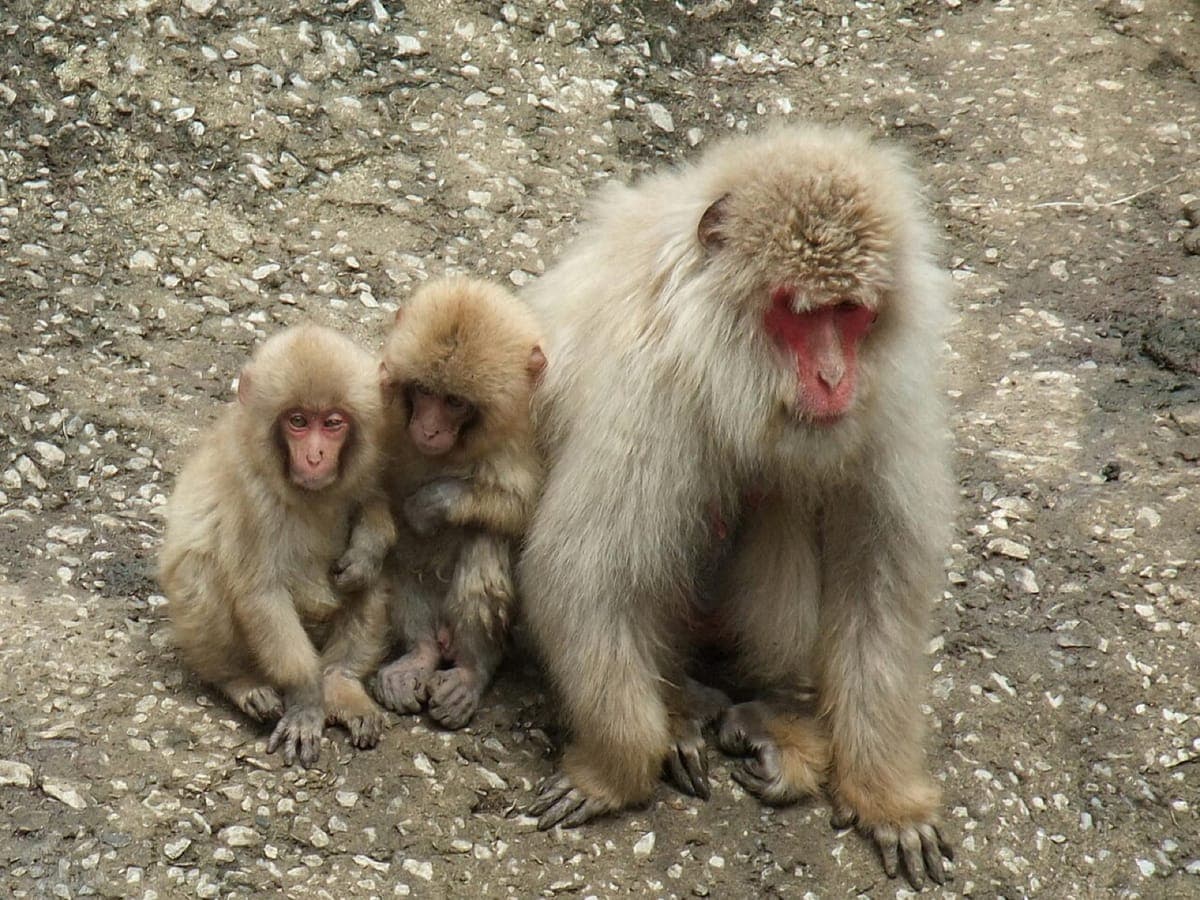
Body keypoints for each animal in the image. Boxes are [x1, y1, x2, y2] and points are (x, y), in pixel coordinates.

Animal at [160, 324, 394, 767]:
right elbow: (261, 592)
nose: (316, 455)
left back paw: (340, 683)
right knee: (200, 571)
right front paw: (304, 701)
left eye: (333, 422)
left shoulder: (371, 463)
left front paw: (368, 549)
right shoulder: (253, 497)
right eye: (297, 421)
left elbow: (374, 505)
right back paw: (241, 681)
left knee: (374, 580)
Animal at [367, 276, 545, 730]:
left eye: (455, 403)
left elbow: (524, 513)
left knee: (484, 541)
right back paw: (420, 654)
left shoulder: (523, 443)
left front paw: (434, 502)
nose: (429, 429)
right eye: (424, 392)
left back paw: (470, 668)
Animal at [518, 124, 955, 889]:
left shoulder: (889, 392)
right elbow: (581, 575)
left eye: (850, 312)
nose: (833, 377)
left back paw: (773, 716)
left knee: (782, 495)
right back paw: (684, 711)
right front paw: (614, 771)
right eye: (799, 313)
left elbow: (880, 582)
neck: (727, 360)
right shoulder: (648, 392)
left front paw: (886, 792)